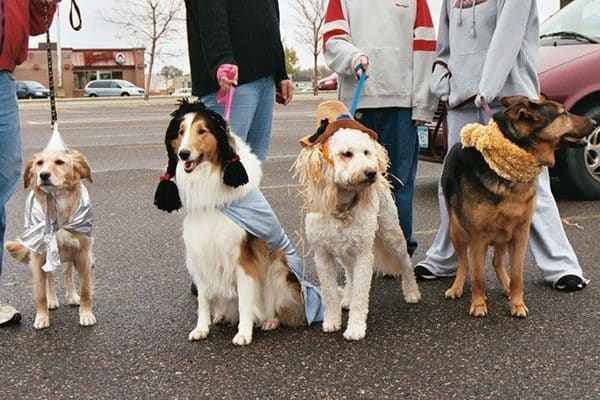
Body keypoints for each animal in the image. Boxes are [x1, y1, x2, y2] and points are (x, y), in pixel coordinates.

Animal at [3, 148, 95, 330]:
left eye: (59, 162)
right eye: (39, 163)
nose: (43, 175)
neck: (58, 207)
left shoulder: (82, 254)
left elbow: (85, 290)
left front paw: (86, 314)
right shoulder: (38, 256)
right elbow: (40, 293)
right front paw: (41, 317)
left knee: (67, 273)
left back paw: (72, 295)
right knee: (50, 277)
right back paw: (52, 300)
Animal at [155, 99, 304, 344]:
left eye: (202, 131)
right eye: (181, 131)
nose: (184, 154)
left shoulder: (244, 259)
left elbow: (245, 301)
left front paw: (244, 333)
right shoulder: (201, 253)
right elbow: (203, 301)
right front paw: (201, 328)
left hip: (278, 265)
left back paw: (269, 320)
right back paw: (222, 316)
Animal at [296, 100, 422, 340]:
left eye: (366, 151)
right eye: (346, 153)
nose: (371, 172)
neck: (342, 206)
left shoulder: (364, 254)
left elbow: (361, 294)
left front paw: (355, 328)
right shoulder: (322, 255)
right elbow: (330, 293)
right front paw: (332, 321)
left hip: (392, 235)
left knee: (405, 264)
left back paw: (412, 292)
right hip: (345, 250)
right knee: (349, 273)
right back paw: (346, 298)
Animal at [440, 95, 596, 318]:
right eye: (563, 113)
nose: (595, 122)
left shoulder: (520, 233)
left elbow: (517, 275)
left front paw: (517, 304)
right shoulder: (478, 236)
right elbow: (478, 276)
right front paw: (478, 304)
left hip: (503, 235)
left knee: (497, 262)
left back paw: (505, 286)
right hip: (458, 231)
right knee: (464, 263)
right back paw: (457, 287)